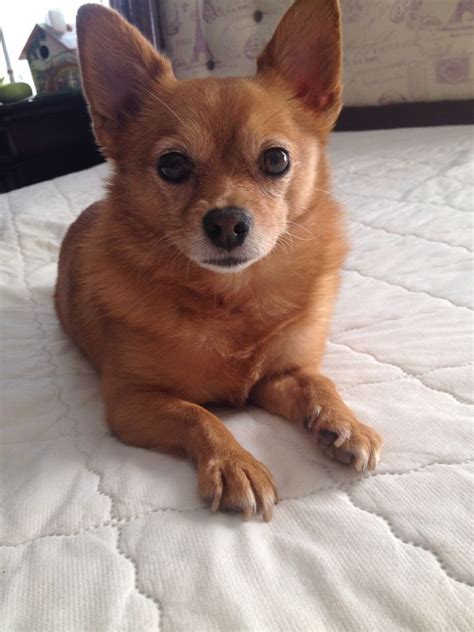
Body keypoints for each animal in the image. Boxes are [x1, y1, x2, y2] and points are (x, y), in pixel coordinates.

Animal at [55, 2, 382, 520]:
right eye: (171, 165)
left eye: (276, 160)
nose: (227, 222)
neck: (232, 298)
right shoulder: (132, 402)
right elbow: (198, 413)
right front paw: (234, 463)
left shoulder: (279, 377)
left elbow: (319, 382)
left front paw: (343, 422)